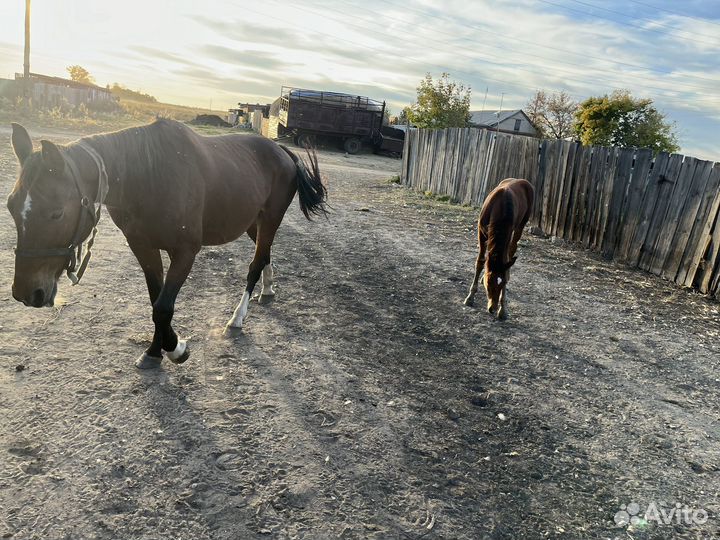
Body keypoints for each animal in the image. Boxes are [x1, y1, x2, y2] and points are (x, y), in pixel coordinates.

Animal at [7, 120, 330, 370]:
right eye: (10, 206)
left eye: (57, 213)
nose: (26, 293)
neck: (151, 177)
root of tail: (281, 151)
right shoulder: (142, 247)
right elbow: (156, 300)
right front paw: (154, 351)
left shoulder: (185, 252)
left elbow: (163, 307)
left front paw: (176, 348)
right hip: (254, 222)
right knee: (265, 256)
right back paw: (268, 289)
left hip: (271, 219)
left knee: (255, 263)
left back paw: (238, 317)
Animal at [464, 179, 532, 318]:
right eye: (489, 283)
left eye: (502, 285)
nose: (493, 308)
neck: (500, 208)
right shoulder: (481, 233)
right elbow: (480, 262)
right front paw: (470, 297)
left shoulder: (508, 234)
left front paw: (503, 310)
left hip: (520, 226)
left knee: (512, 249)